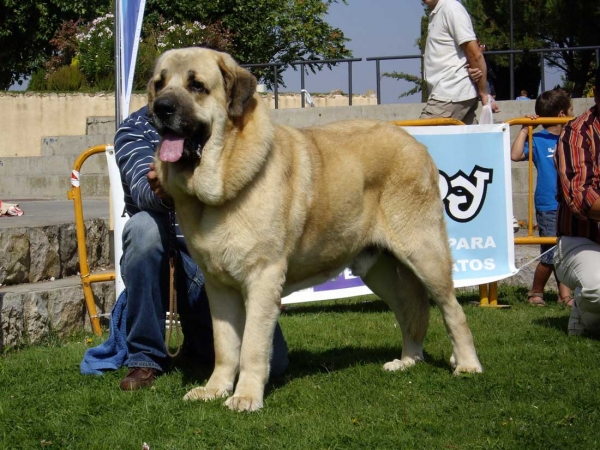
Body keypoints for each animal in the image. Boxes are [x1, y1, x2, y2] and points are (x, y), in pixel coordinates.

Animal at [151, 47, 482, 410]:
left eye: (197, 85)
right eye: (159, 83)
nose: (161, 107)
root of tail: (416, 144)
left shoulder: (262, 278)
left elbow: (251, 346)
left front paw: (246, 396)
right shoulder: (219, 286)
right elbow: (225, 346)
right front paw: (214, 389)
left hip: (424, 254)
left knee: (452, 310)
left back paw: (467, 364)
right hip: (381, 272)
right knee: (409, 311)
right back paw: (407, 360)